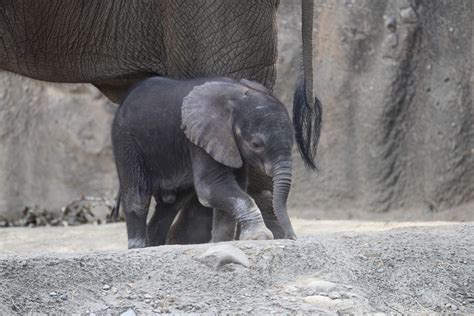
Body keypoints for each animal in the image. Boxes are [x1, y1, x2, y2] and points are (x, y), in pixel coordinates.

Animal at [112, 75, 294, 248]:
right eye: (256, 145)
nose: (291, 237)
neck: (238, 94)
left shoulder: (229, 144)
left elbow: (235, 186)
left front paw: (221, 242)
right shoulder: (200, 138)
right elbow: (211, 187)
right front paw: (259, 237)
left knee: (170, 206)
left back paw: (155, 245)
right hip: (126, 141)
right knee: (138, 195)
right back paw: (138, 247)